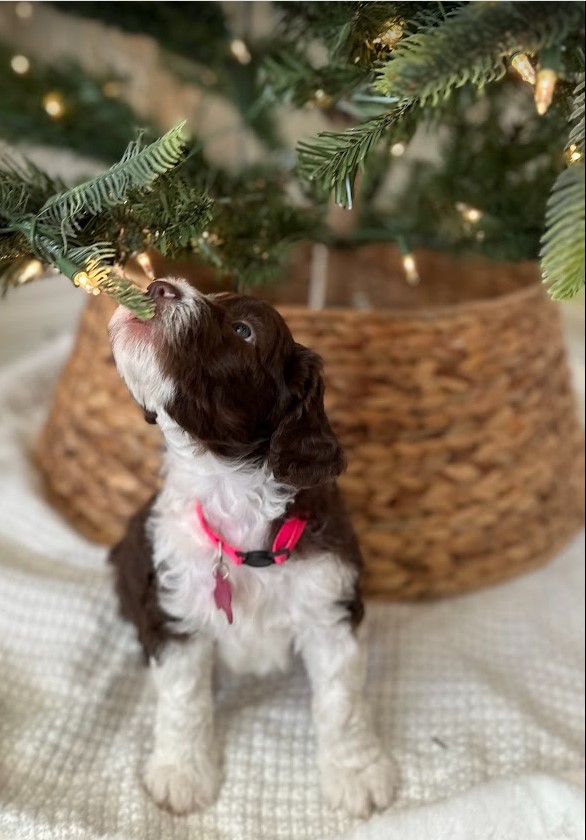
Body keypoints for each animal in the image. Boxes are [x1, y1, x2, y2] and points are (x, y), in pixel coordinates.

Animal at [108, 278, 394, 816]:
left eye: (243, 331)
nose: (159, 285)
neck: (232, 494)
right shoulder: (177, 609)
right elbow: (184, 702)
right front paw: (182, 776)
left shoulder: (330, 609)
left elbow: (342, 704)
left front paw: (357, 775)